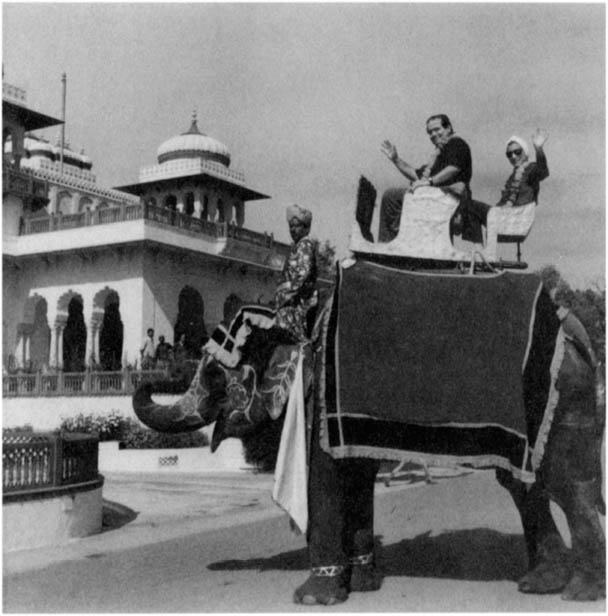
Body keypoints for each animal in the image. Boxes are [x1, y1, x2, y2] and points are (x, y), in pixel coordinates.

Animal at [133, 276, 604, 604]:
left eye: (214, 374)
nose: (152, 374)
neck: (302, 324)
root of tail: (573, 326)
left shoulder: (321, 399)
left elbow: (323, 482)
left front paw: (312, 598)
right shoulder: (345, 419)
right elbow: (356, 482)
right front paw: (362, 584)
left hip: (561, 404)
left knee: (568, 487)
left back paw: (580, 592)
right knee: (527, 488)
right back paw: (540, 584)